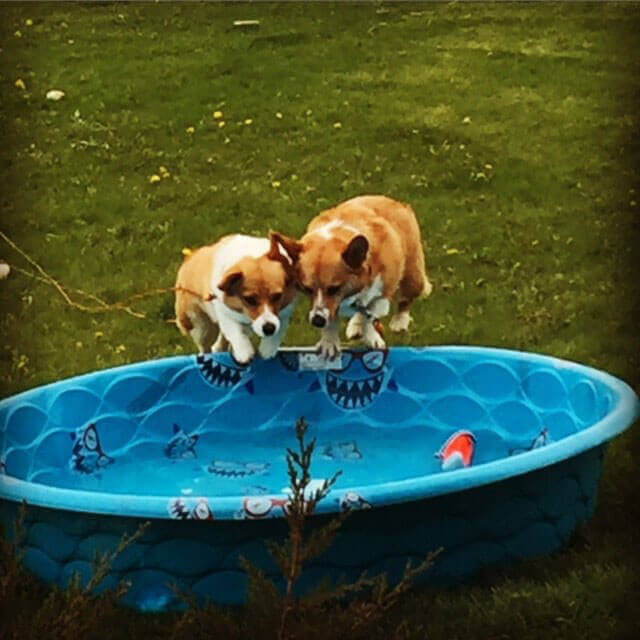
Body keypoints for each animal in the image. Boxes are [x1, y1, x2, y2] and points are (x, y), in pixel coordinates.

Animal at [174, 235, 296, 364]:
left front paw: (267, 350)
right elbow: (235, 332)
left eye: (277, 296)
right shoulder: (225, 313)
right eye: (250, 299)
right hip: (201, 325)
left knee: (218, 345)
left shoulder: (284, 313)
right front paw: (244, 353)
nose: (268, 329)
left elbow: (278, 332)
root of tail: (189, 258)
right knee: (206, 346)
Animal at [272, 194, 432, 360]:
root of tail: (397, 202)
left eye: (334, 288)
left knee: (405, 299)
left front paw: (372, 338)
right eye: (307, 289)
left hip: (412, 277)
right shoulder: (331, 306)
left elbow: (369, 316)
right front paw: (329, 342)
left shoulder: (381, 295)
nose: (317, 321)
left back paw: (399, 322)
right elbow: (335, 319)